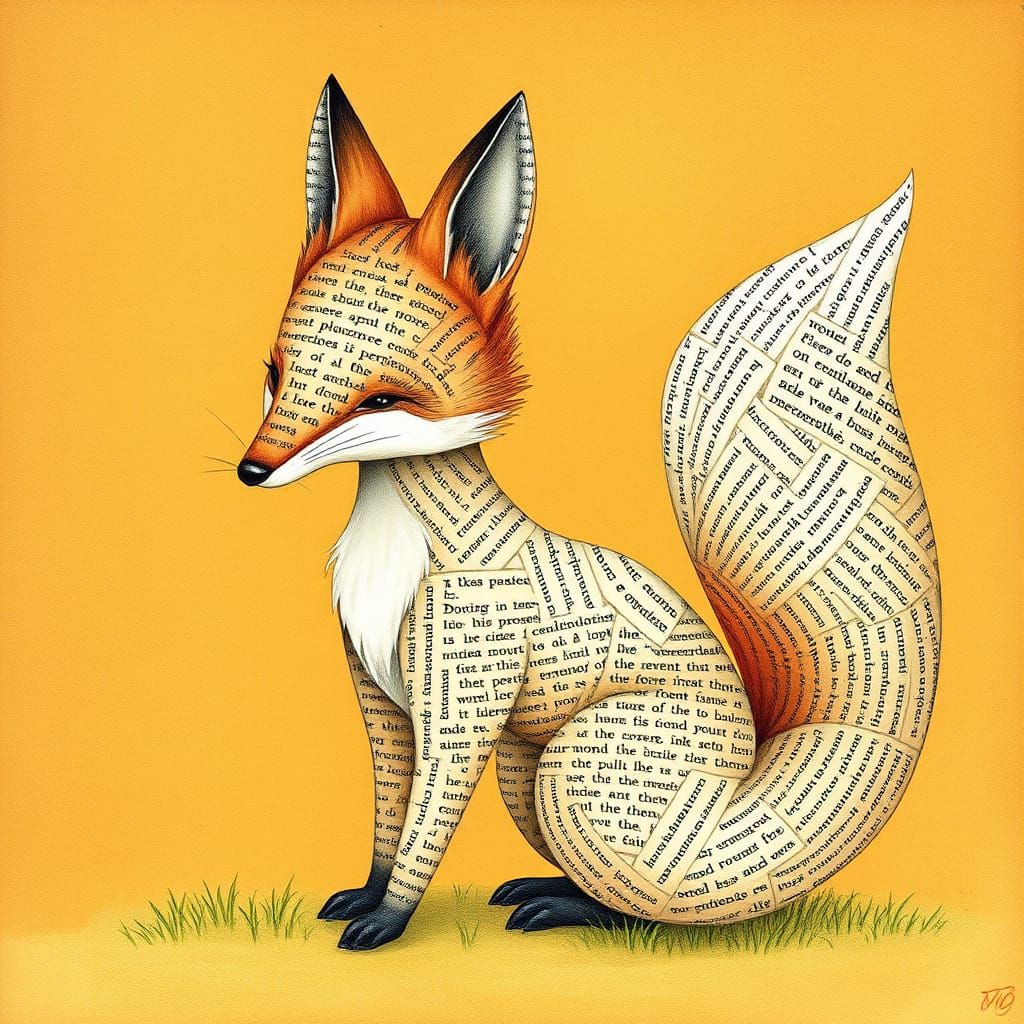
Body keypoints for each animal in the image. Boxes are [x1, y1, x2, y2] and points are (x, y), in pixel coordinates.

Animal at [237, 76, 940, 951]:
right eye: (275, 372)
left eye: (381, 399)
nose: (251, 470)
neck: (394, 552)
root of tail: (744, 802)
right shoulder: (381, 699)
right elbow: (387, 821)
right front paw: (366, 897)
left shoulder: (464, 700)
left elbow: (423, 829)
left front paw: (389, 921)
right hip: (525, 765)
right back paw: (544, 890)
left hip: (565, 770)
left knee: (649, 906)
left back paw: (561, 907)